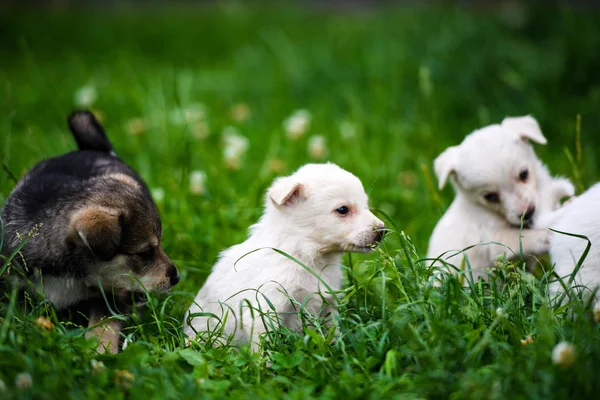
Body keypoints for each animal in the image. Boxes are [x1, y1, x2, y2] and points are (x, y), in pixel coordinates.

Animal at [1, 110, 179, 354]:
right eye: (145, 253)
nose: (176, 277)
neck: (71, 274)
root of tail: (96, 149)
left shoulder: (110, 298)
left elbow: (103, 326)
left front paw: (100, 353)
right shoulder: (16, 289)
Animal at [183, 162, 386, 350]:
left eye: (366, 205)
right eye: (343, 210)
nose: (382, 230)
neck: (303, 253)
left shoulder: (328, 303)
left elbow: (332, 332)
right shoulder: (265, 308)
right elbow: (264, 346)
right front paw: (263, 365)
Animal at [426, 115, 576, 282]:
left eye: (524, 174)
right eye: (490, 196)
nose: (528, 213)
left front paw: (569, 204)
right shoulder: (493, 240)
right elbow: (523, 238)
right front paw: (547, 235)